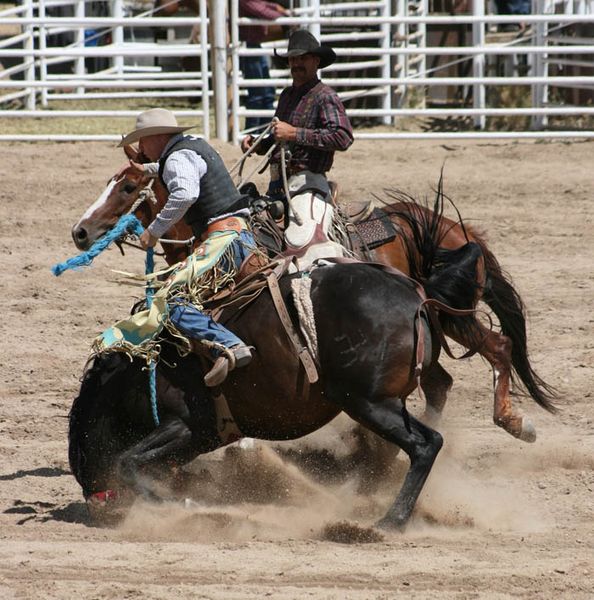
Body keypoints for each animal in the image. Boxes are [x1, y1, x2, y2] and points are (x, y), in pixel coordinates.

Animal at [73, 145, 556, 440]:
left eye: (127, 187)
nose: (80, 231)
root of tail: (453, 227)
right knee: (443, 379)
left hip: (454, 315)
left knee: (497, 347)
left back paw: (514, 422)